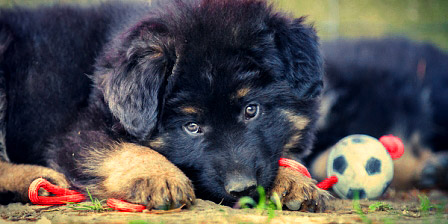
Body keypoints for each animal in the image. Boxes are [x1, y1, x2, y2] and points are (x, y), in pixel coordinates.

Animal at [0, 0, 328, 210]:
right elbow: (124, 148)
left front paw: (293, 179)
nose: (242, 188)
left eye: (251, 110)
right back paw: (38, 179)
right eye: (192, 126)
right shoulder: (77, 131)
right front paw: (160, 175)